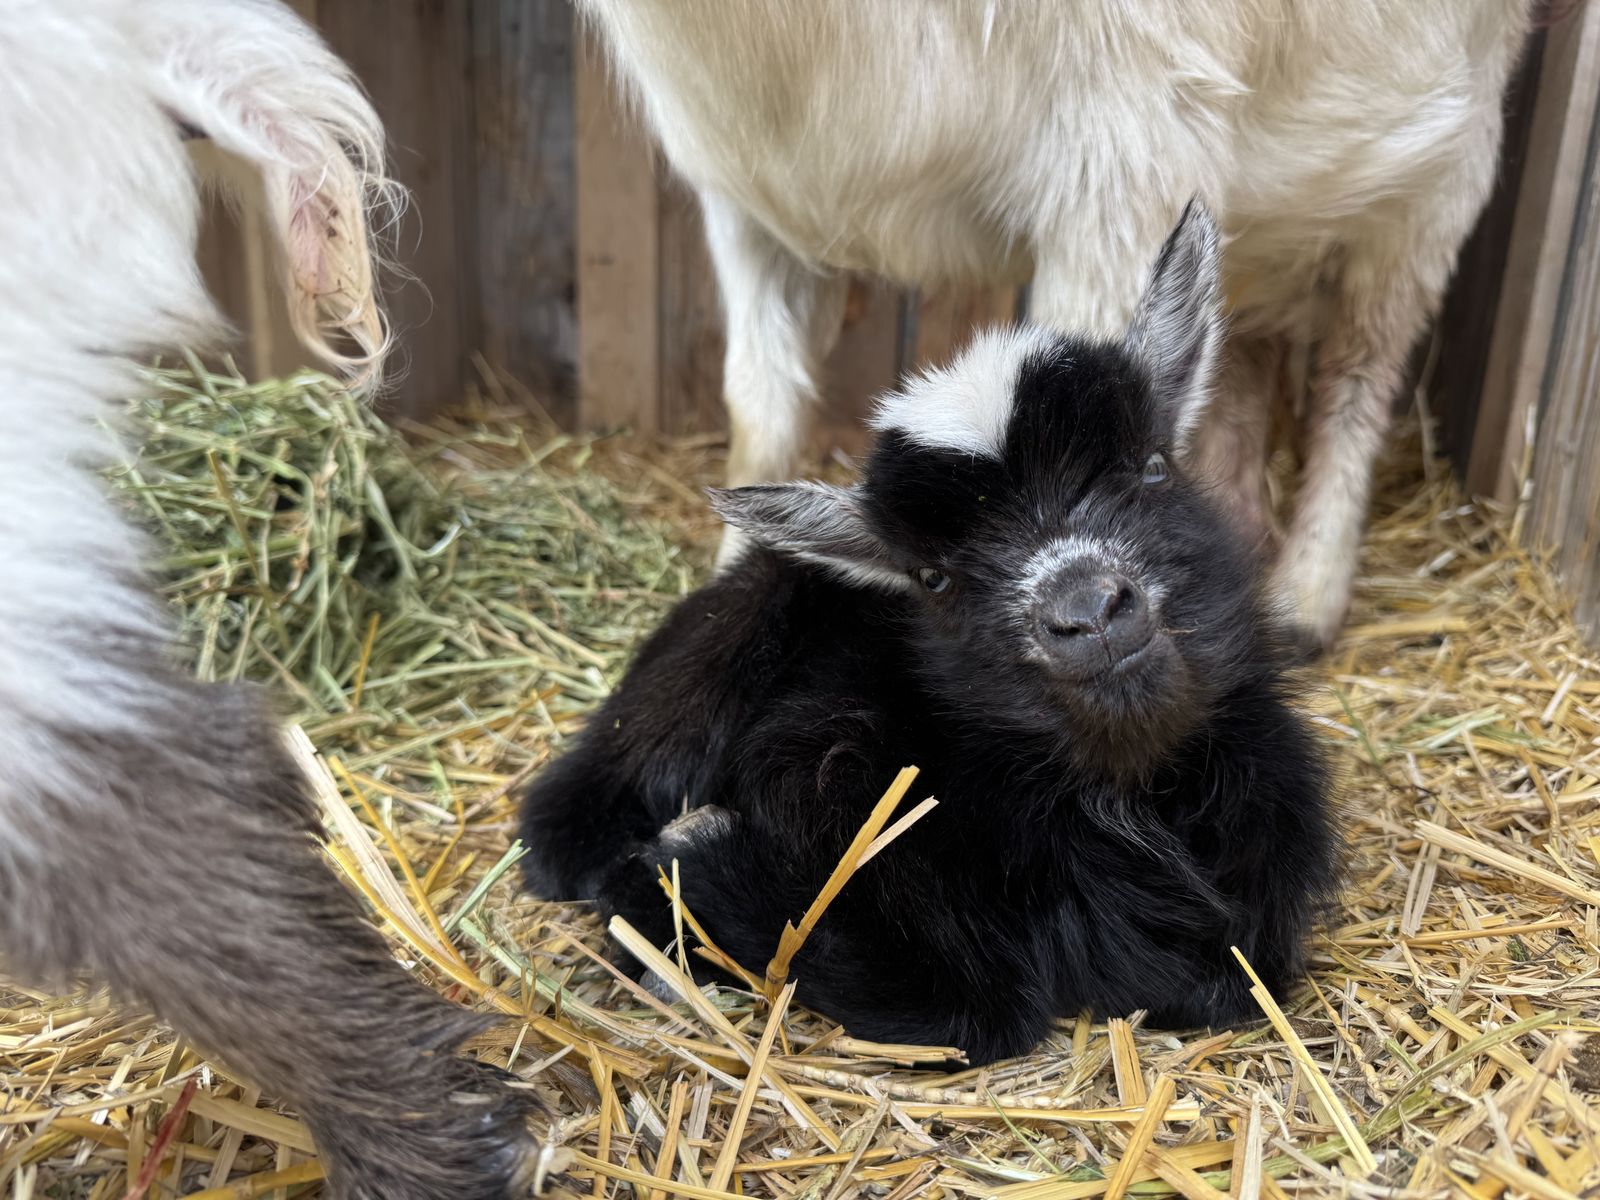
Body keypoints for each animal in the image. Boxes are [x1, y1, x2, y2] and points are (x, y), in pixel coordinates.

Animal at [521, 203, 1339, 1064]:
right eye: (934, 578)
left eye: (1153, 468)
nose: (1087, 611)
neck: (1121, 802)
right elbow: (956, 999)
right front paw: (675, 868)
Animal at [579, 0, 1537, 652]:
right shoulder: (748, 199)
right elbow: (759, 409)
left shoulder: (1126, 149)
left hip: (1438, 176)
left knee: (1360, 372)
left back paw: (1307, 598)